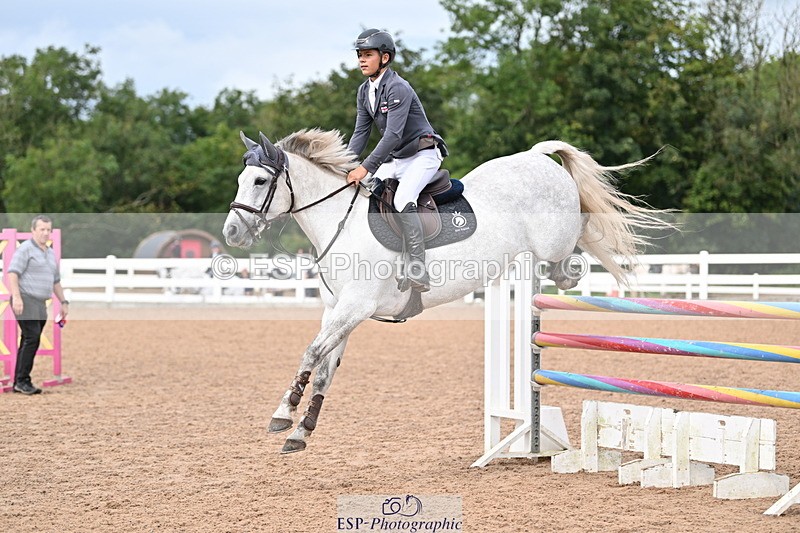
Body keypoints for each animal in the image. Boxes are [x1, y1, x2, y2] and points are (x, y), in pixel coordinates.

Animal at [223, 128, 670, 453]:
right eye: (241, 179)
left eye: (260, 180)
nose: (231, 233)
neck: (341, 223)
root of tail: (537, 156)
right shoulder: (337, 311)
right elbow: (324, 368)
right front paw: (302, 431)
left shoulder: (356, 307)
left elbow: (311, 353)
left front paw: (283, 415)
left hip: (554, 241)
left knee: (575, 245)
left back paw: (575, 268)